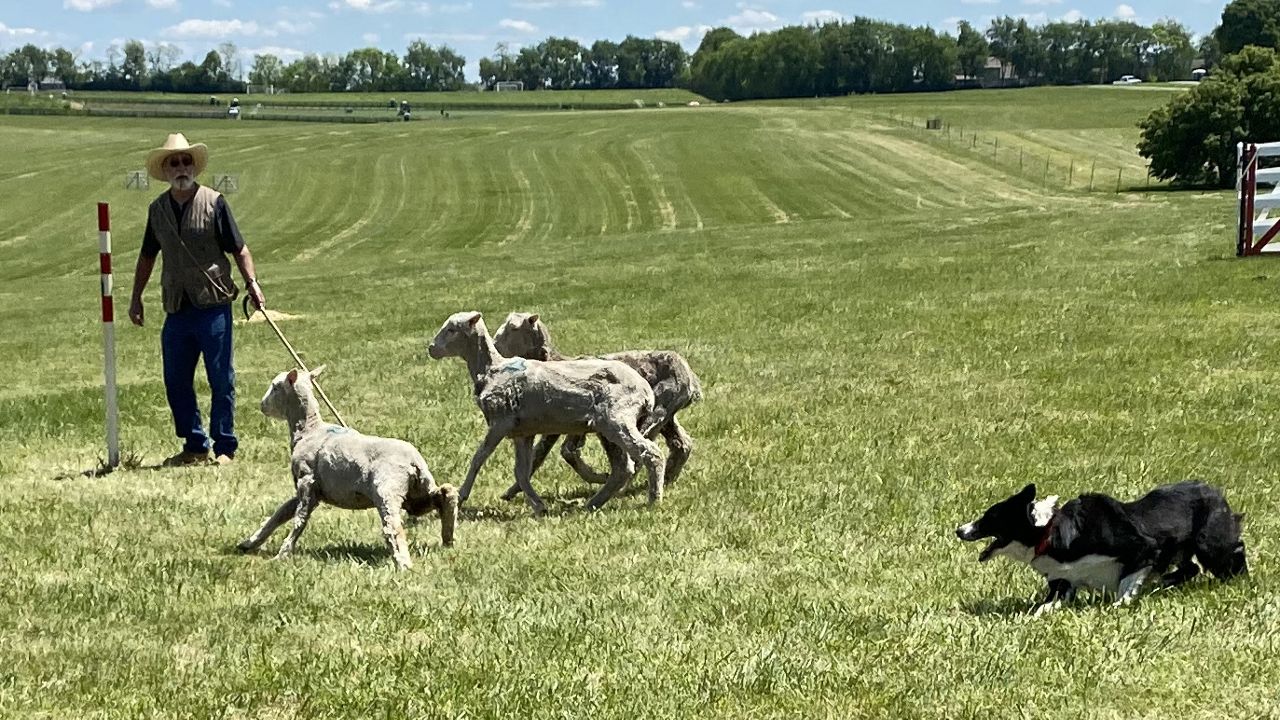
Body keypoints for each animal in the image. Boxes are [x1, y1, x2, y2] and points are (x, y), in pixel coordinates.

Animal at [238, 363, 458, 566]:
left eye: (275, 386)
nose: (262, 405)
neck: (309, 430)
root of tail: (414, 461)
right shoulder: (309, 489)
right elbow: (280, 513)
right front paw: (250, 542)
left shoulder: (307, 481)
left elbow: (299, 518)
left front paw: (282, 554)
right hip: (418, 494)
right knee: (445, 495)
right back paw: (448, 538)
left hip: (388, 489)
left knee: (393, 526)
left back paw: (403, 563)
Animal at [430, 311, 670, 512]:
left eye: (451, 329)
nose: (431, 348)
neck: (491, 369)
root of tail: (645, 390)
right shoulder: (522, 432)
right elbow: (521, 471)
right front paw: (538, 506)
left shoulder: (500, 422)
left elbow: (479, 457)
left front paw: (461, 495)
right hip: (606, 426)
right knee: (622, 468)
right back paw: (593, 504)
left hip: (617, 418)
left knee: (651, 454)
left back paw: (654, 501)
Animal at [494, 311, 706, 497]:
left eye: (513, 328)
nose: (495, 345)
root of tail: (691, 379)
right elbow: (543, 455)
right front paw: (510, 493)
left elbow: (560, 452)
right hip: (667, 414)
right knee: (682, 444)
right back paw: (666, 479)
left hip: (656, 410)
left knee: (641, 453)